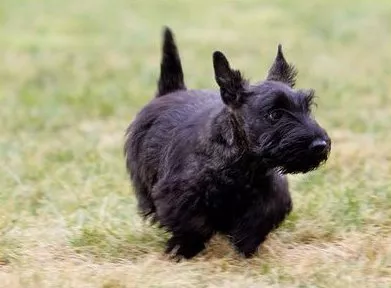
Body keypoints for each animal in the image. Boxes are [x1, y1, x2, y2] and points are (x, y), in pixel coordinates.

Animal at [125, 28, 330, 260]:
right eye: (275, 114)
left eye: (307, 107)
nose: (320, 144)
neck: (245, 162)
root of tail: (170, 92)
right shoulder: (178, 195)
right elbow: (193, 224)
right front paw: (183, 249)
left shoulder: (270, 194)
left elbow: (261, 217)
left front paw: (246, 243)